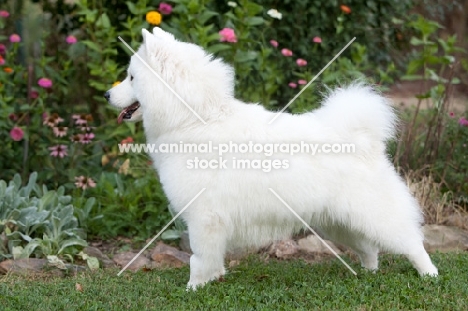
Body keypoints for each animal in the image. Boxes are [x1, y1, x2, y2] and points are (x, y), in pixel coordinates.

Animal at [106, 27, 438, 290]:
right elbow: (210, 258)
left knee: (412, 243)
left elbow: (198, 259)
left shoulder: (204, 218)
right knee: (369, 249)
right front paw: (213, 279)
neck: (196, 119)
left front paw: (194, 288)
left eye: (132, 77)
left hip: (374, 215)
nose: (108, 95)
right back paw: (368, 273)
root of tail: (363, 137)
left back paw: (429, 275)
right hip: (339, 221)